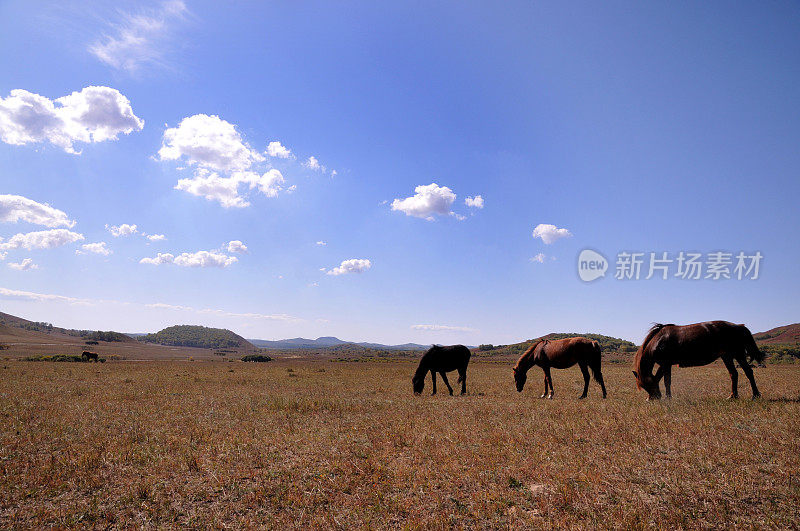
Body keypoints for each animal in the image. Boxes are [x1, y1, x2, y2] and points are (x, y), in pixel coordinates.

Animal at [632, 322, 764, 402]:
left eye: (644, 385)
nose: (654, 397)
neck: (659, 340)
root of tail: (739, 326)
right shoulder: (666, 365)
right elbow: (663, 380)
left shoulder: (665, 364)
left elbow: (665, 381)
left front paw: (668, 398)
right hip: (727, 356)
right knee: (734, 374)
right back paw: (733, 396)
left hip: (738, 355)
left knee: (748, 372)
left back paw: (755, 395)